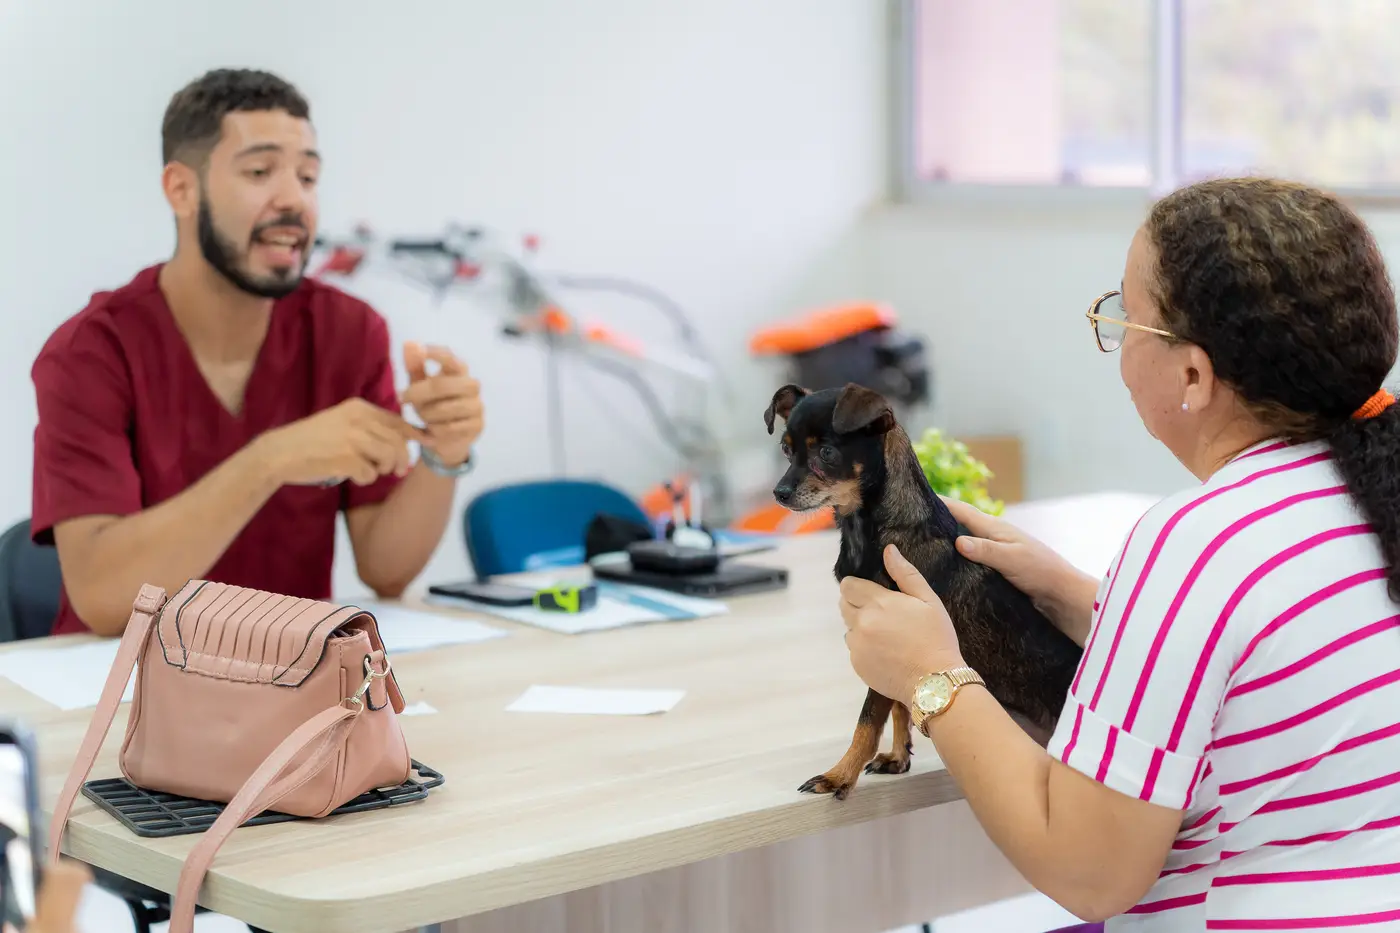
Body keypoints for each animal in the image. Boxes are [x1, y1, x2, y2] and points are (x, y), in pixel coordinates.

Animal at [764, 382, 1083, 799]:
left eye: (827, 453)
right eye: (786, 450)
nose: (779, 492)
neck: (868, 528)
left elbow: (869, 720)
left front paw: (840, 775)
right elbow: (902, 703)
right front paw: (899, 757)